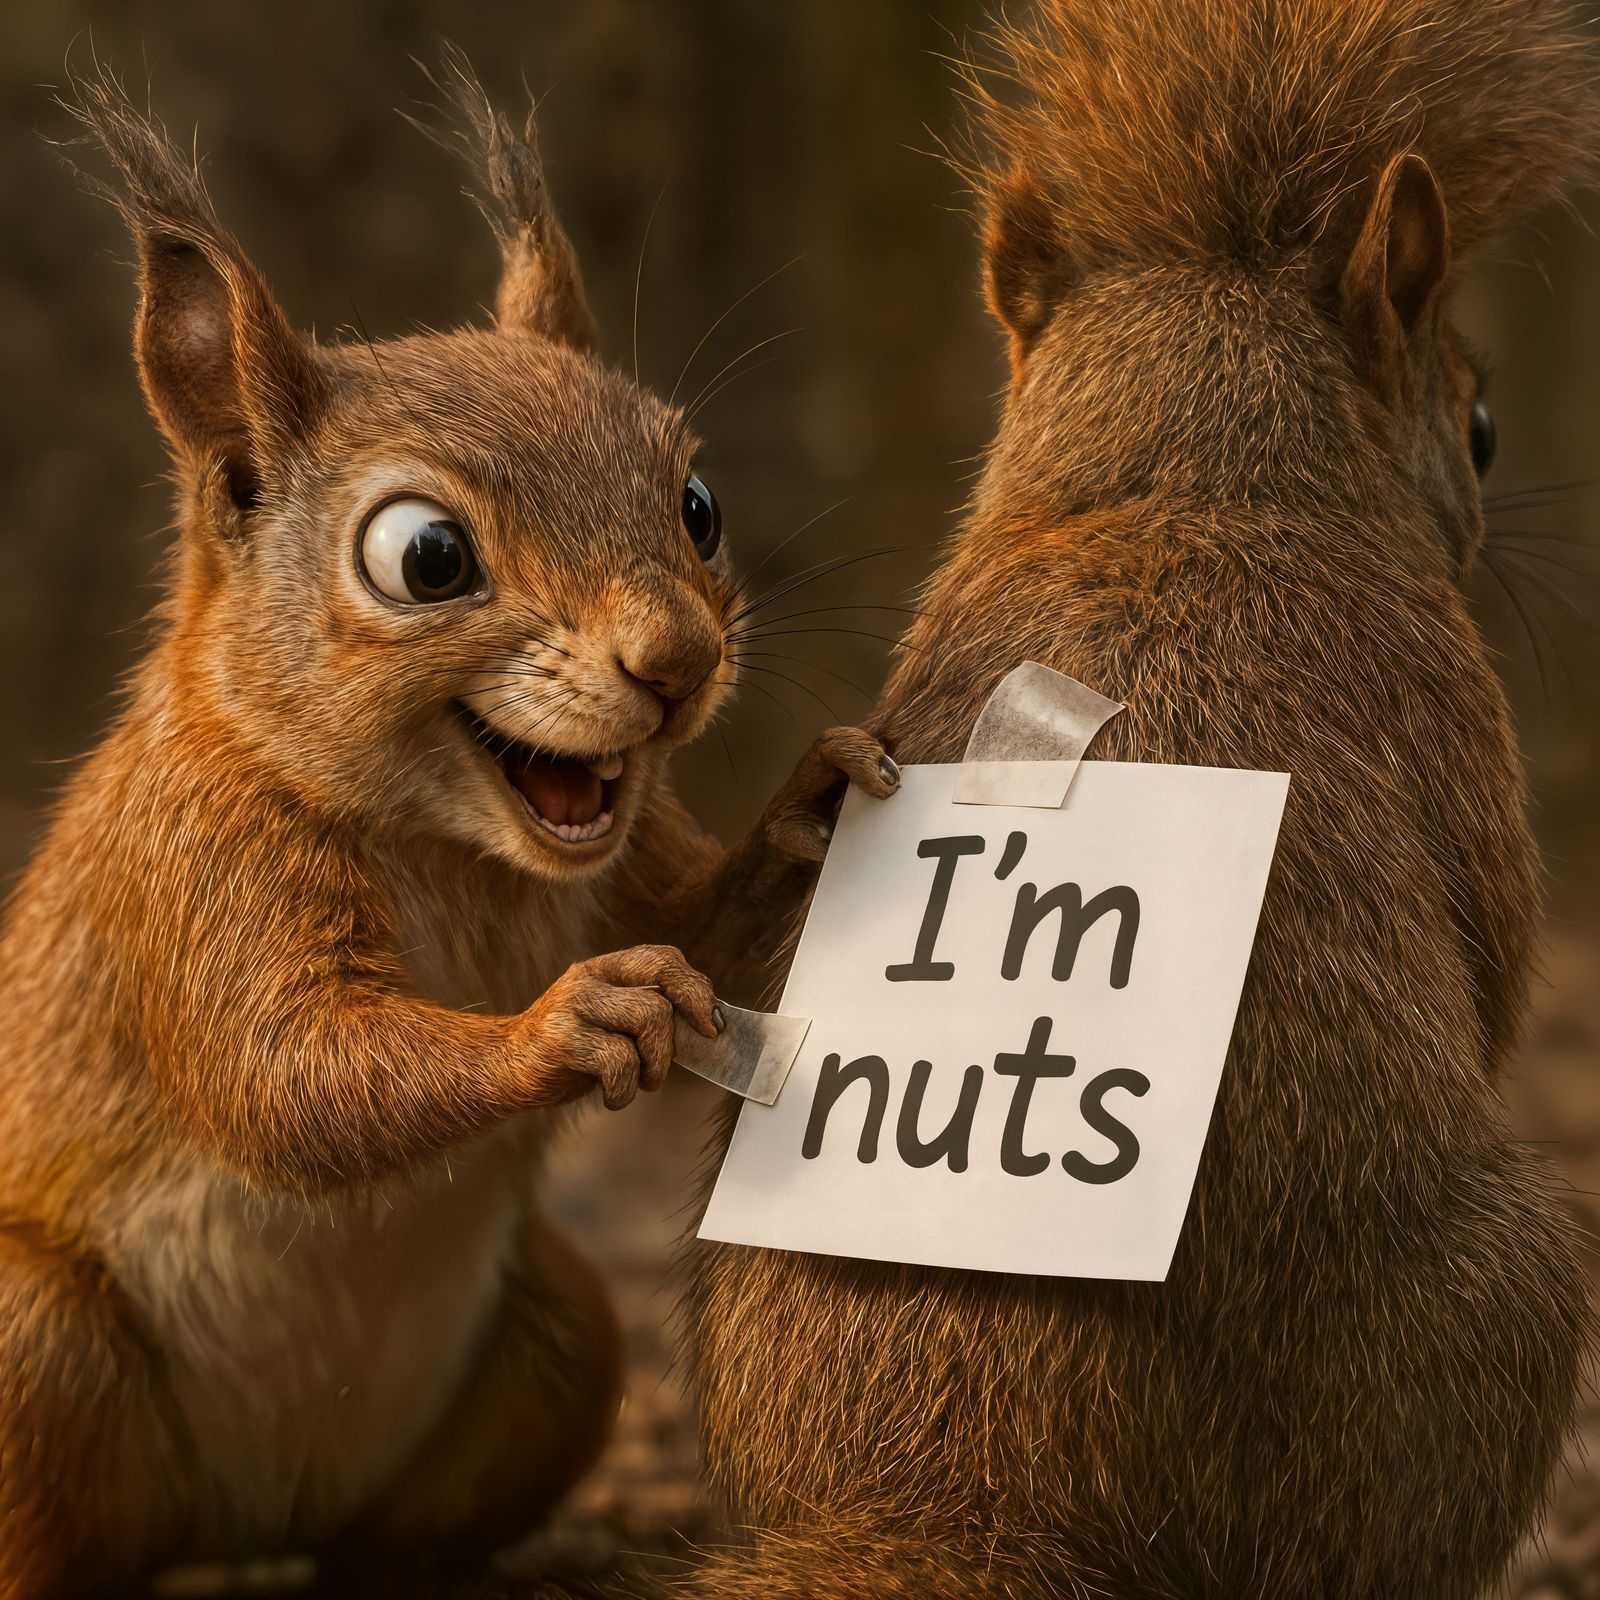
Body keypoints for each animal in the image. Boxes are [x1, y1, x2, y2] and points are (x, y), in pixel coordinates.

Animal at [0, 52, 894, 1598]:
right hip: (28, 1346)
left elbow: (706, 920)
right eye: (426, 557)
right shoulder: (189, 865)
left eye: (697, 501)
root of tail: (244, 1518)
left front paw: (813, 804)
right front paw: (575, 1023)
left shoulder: (619, 867)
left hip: (561, 1345)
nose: (678, 663)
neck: (460, 856)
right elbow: (284, 1069)